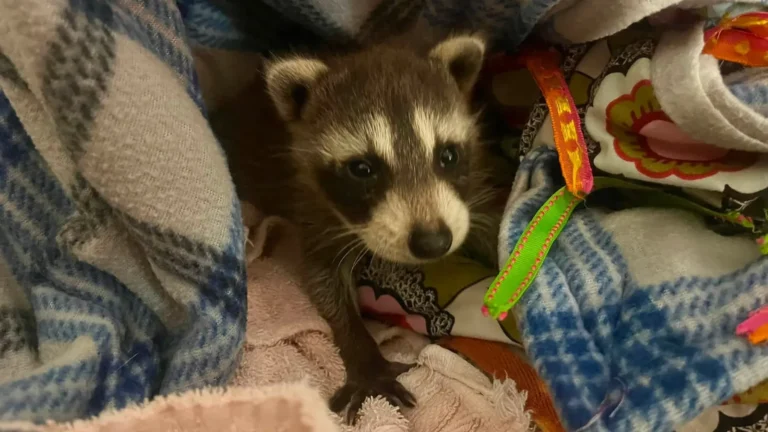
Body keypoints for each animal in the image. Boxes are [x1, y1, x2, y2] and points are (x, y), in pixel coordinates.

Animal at [258, 34, 498, 421]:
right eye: (362, 169)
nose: (433, 242)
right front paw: (364, 356)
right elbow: (323, 282)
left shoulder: (470, 193)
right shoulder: (314, 208)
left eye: (447, 155)